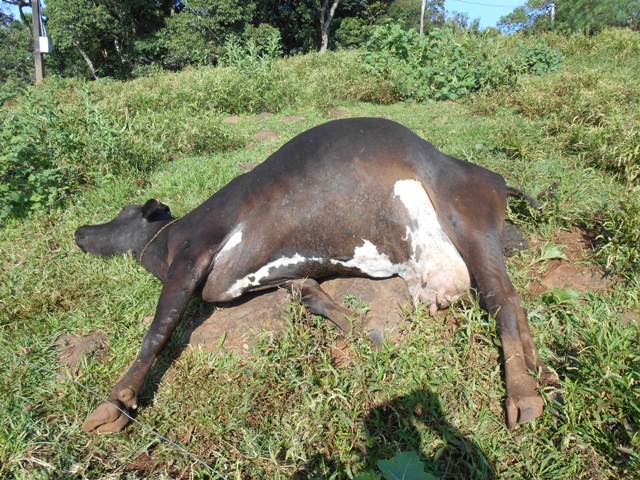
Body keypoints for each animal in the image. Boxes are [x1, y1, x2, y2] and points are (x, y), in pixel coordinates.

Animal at [74, 117, 558, 434]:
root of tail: (491, 177)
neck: (169, 240)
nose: (80, 230)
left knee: (502, 299)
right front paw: (364, 333)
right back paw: (541, 373)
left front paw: (113, 401)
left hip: (470, 221)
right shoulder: (279, 273)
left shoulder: (190, 259)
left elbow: (157, 331)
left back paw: (523, 395)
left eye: (125, 212)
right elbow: (314, 296)